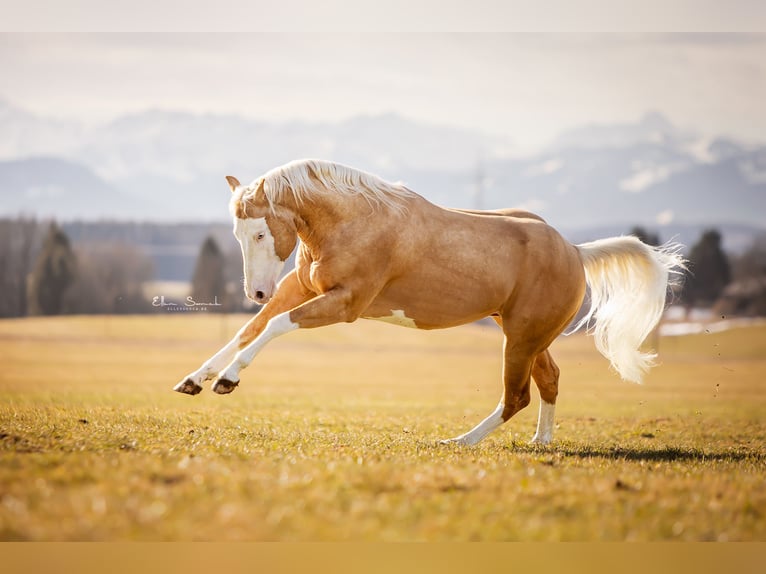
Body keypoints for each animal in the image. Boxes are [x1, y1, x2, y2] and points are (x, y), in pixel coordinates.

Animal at [174, 159, 684, 445]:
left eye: (261, 233)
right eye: (238, 233)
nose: (255, 291)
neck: (355, 220)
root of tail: (576, 252)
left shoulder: (345, 305)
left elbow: (276, 327)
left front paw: (228, 380)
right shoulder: (302, 290)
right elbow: (251, 329)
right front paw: (195, 379)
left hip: (520, 339)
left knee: (516, 396)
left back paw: (460, 442)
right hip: (524, 335)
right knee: (550, 381)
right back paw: (540, 442)